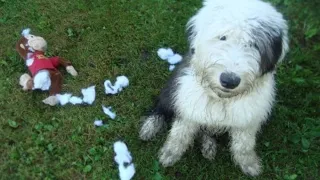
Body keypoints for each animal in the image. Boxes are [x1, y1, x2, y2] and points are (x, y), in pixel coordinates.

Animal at [139, 0, 288, 177]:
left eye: (253, 44)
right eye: (222, 37)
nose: (229, 80)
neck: (221, 98)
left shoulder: (247, 119)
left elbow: (244, 145)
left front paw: (250, 165)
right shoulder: (189, 107)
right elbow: (179, 134)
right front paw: (169, 154)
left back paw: (208, 146)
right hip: (171, 90)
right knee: (160, 108)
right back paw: (149, 128)